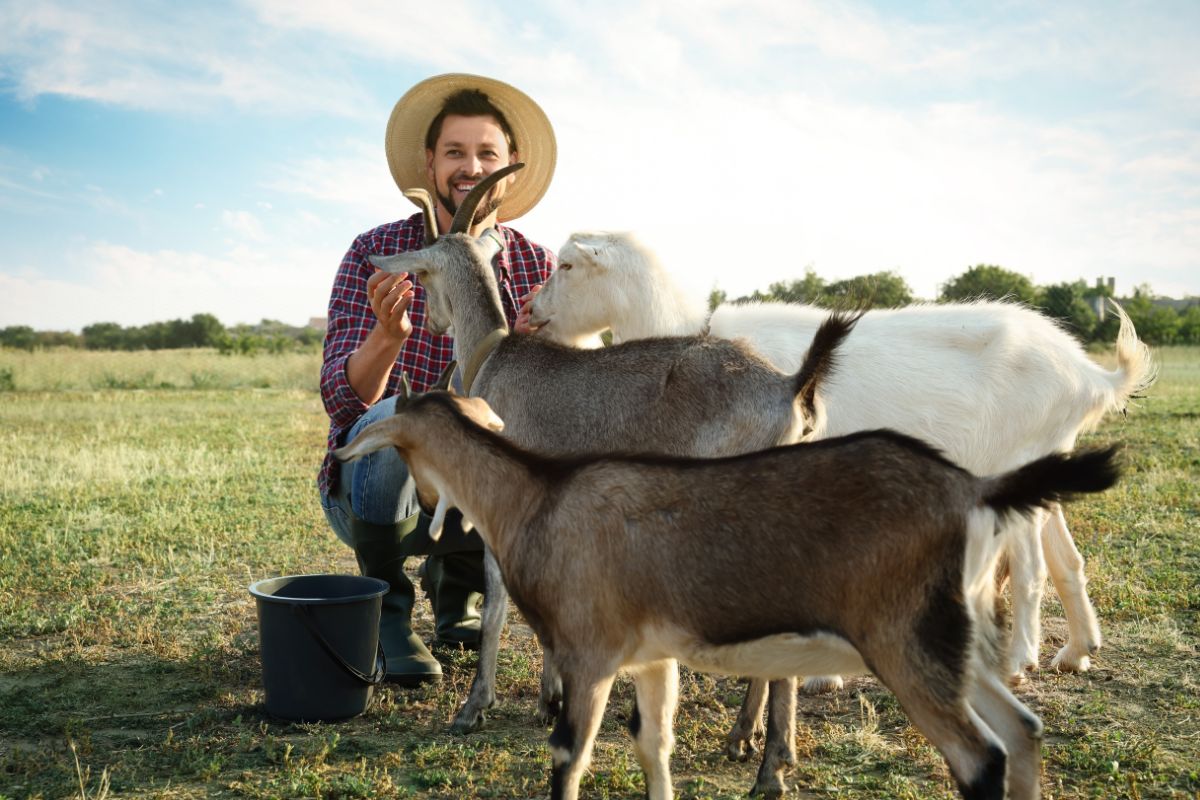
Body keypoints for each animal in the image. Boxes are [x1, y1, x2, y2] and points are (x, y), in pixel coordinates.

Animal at [338, 388, 1123, 800]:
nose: (429, 516)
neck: (538, 499)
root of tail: (975, 490)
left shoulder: (588, 655)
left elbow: (570, 758)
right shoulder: (653, 658)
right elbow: (654, 744)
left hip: (904, 642)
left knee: (979, 757)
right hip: (958, 645)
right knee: (1023, 730)